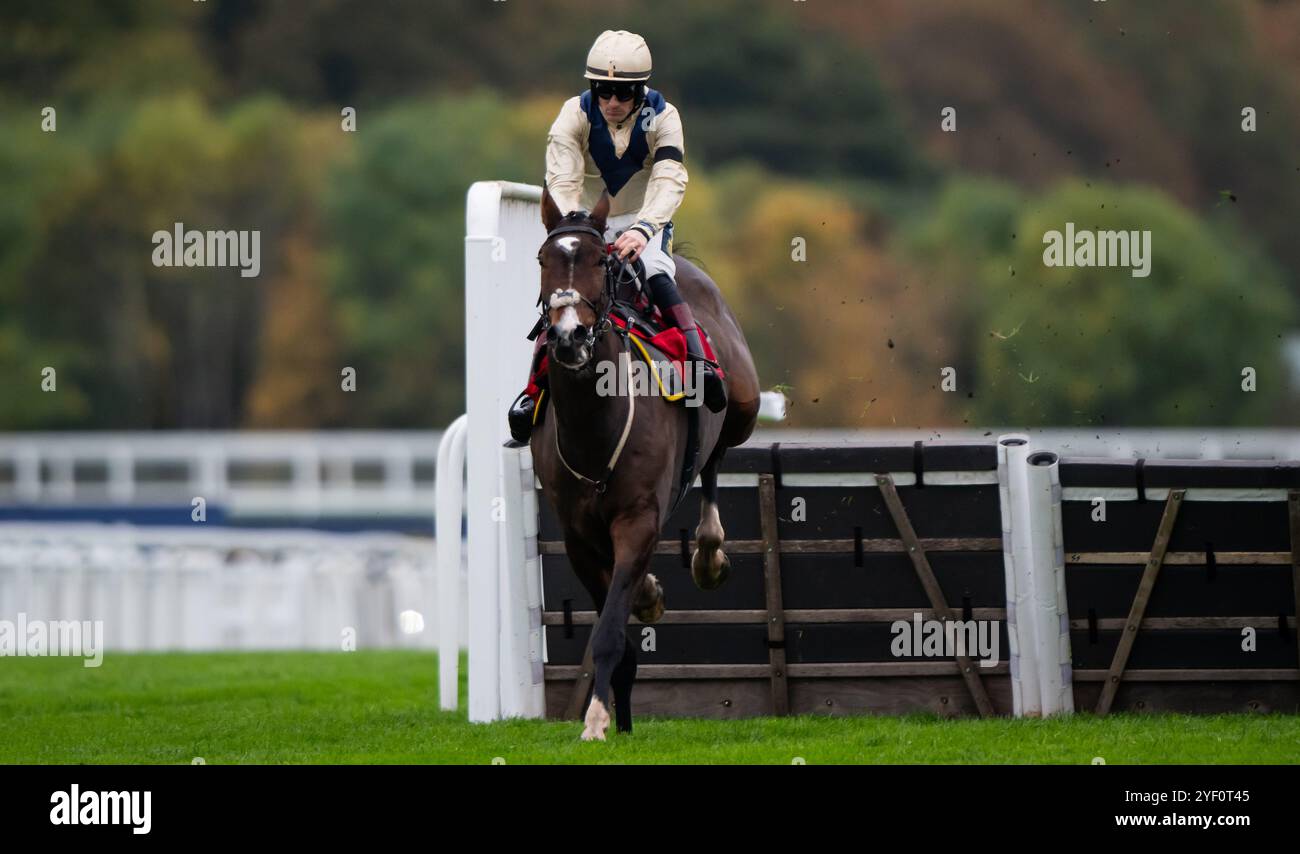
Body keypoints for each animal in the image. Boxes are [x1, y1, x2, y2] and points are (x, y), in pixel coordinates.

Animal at [527, 188, 759, 738]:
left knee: (714, 458)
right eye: (544, 260)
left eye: (599, 261)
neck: (596, 425)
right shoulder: (578, 535)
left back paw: (709, 553)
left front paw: (595, 720)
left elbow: (611, 628)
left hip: (743, 404)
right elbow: (614, 611)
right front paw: (614, 712)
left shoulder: (637, 519)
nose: (567, 337)